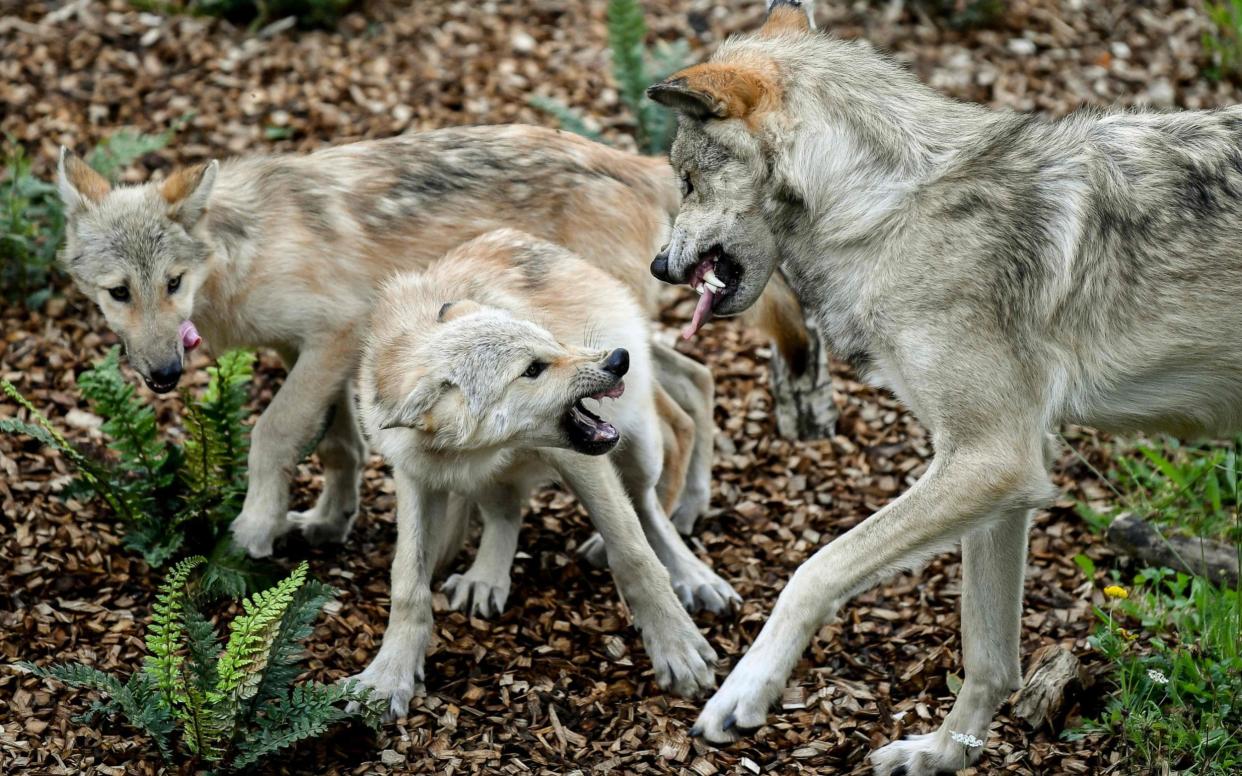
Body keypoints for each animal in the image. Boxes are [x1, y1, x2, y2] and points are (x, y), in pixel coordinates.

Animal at [58, 124, 804, 556]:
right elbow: (337, 445)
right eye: (117, 293)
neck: (247, 249)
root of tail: (637, 162)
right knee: (700, 383)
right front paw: (329, 521)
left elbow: (274, 433)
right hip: (620, 337)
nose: (161, 375)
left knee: (674, 413)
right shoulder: (310, 354)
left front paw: (256, 528)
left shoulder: (334, 338)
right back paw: (691, 508)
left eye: (172, 282)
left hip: (607, 338)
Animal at [645, 1, 1242, 774]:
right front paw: (939, 757)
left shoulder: (987, 462)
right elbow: (990, 661)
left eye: (687, 181)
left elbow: (813, 572)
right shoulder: (1006, 487)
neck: (888, 210)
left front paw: (743, 694)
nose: (659, 267)